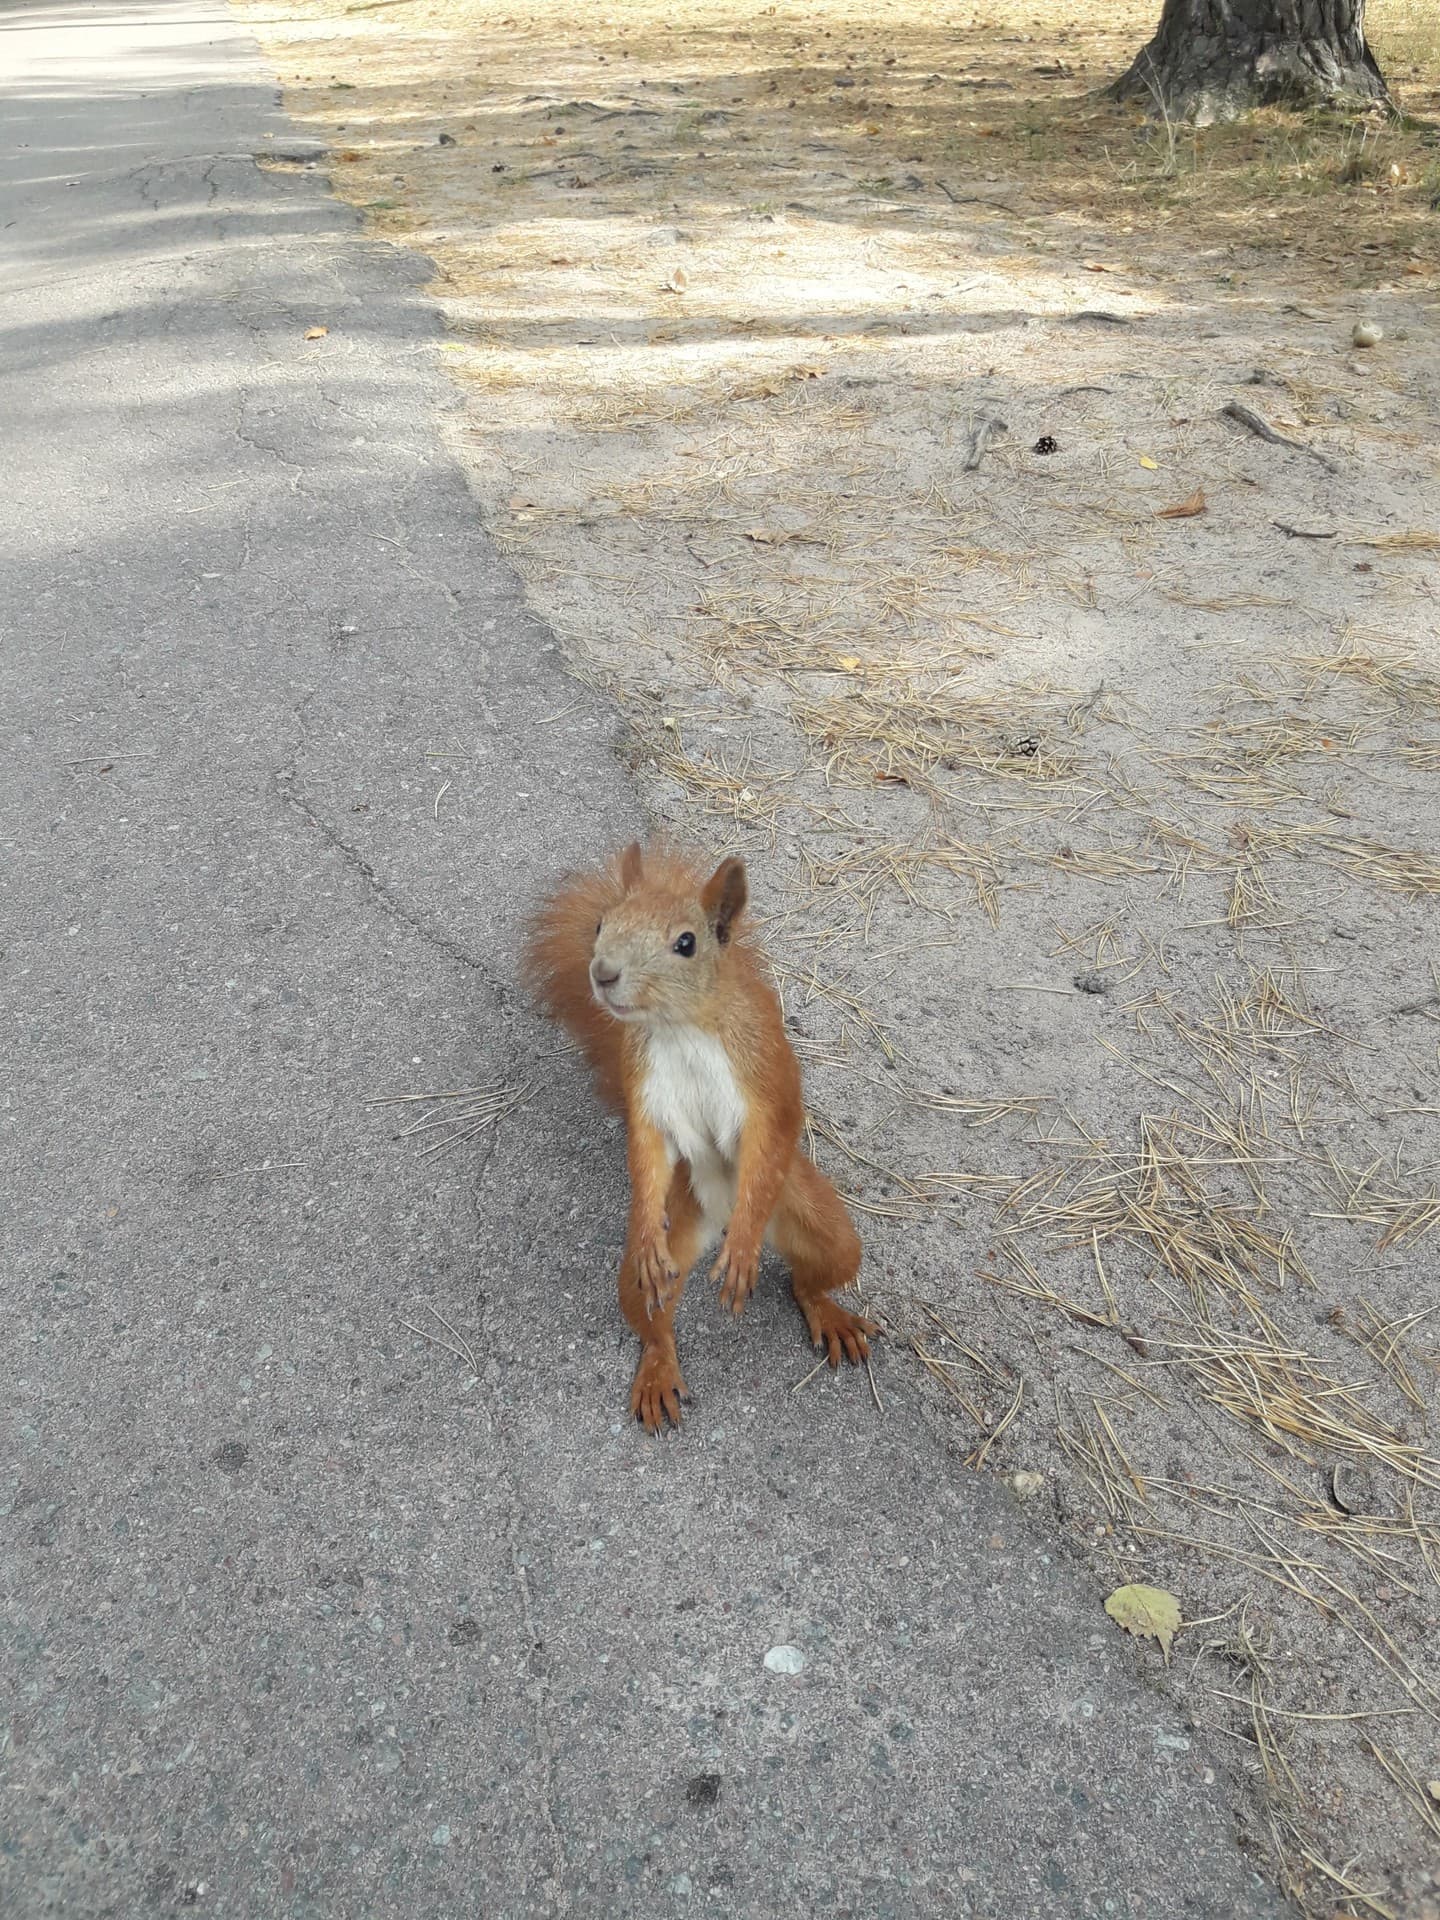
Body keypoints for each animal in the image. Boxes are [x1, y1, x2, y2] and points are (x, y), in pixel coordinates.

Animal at [523, 841, 877, 1431]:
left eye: (685, 943)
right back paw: (657, 1368)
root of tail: (717, 1218)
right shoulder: (645, 1088)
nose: (603, 972)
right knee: (652, 1320)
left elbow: (767, 1135)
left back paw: (820, 1306)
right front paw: (646, 1223)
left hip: (812, 1215)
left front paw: (742, 1245)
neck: (680, 1026)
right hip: (671, 1233)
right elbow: (646, 1151)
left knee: (810, 1277)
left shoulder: (762, 1073)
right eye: (600, 924)